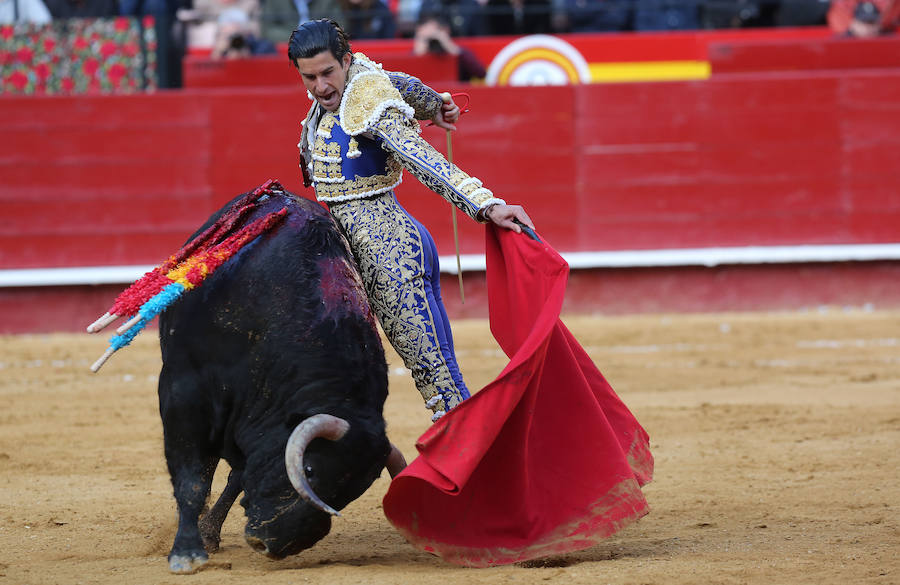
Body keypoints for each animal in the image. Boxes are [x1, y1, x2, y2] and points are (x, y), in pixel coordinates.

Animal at [157, 189, 404, 572]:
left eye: (349, 495)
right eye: (309, 470)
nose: (277, 545)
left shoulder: (255, 425)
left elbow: (238, 475)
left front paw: (206, 535)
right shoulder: (183, 395)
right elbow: (192, 479)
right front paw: (186, 553)